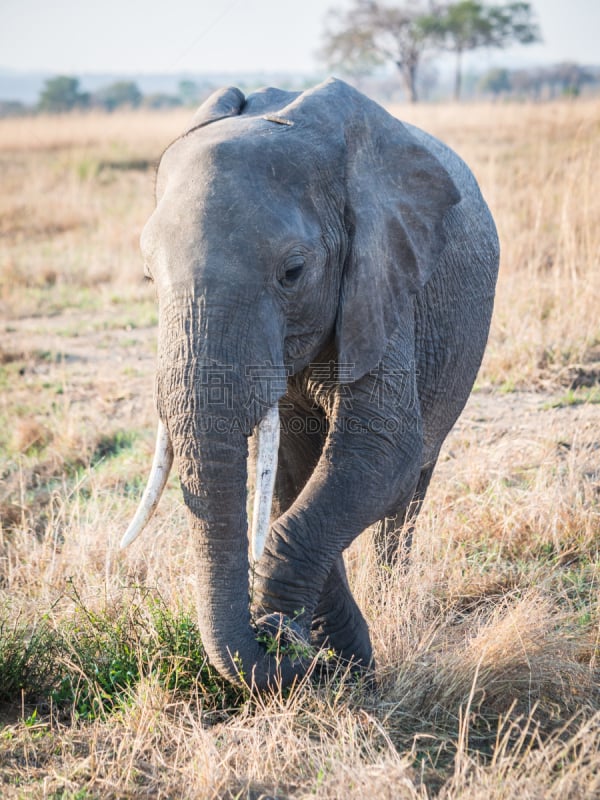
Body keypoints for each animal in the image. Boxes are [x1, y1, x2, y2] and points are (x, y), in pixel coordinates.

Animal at [119, 78, 500, 692]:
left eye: (293, 272)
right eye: (149, 277)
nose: (278, 640)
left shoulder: (383, 276)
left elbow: (382, 450)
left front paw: (309, 643)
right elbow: (293, 479)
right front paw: (329, 650)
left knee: (411, 485)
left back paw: (392, 597)